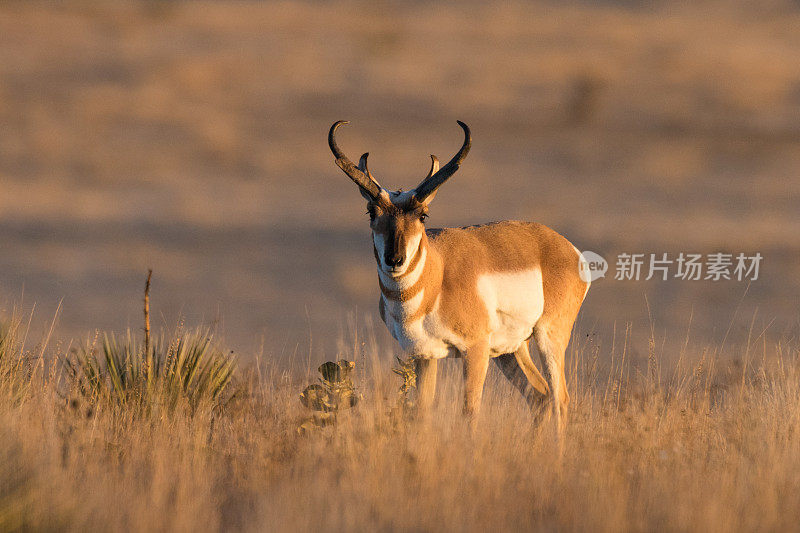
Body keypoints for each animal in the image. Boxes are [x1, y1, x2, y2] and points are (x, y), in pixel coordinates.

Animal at [328, 119, 592, 432]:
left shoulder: (475, 350)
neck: (436, 277)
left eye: (423, 215)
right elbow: (421, 413)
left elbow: (469, 413)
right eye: (371, 211)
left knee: (560, 398)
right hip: (511, 350)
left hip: (548, 336)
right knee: (539, 395)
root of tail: (565, 246)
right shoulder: (425, 355)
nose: (395, 259)